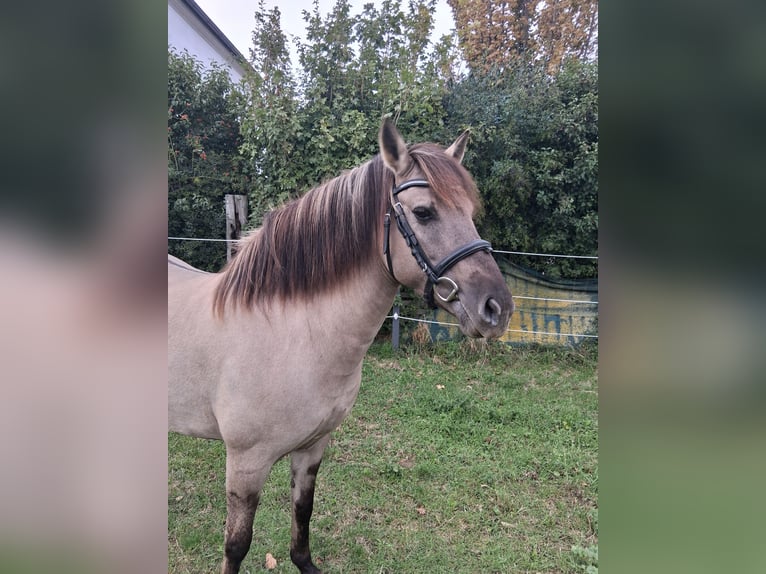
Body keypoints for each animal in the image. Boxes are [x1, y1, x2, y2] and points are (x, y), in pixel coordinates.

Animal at [168, 119, 514, 573]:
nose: (498, 308)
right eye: (424, 212)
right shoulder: (245, 464)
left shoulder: (313, 449)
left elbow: (303, 516)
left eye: (470, 214)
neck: (293, 334)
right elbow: (237, 545)